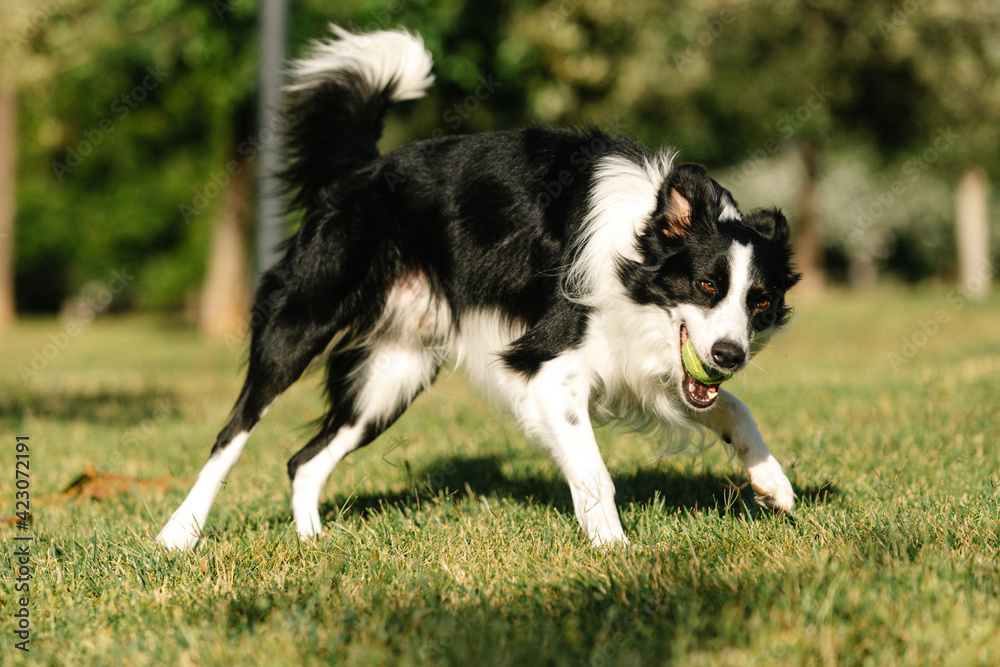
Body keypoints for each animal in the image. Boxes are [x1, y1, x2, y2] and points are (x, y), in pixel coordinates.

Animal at [158, 26, 796, 552]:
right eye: (706, 284)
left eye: (759, 302)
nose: (729, 355)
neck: (636, 254)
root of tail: (361, 171)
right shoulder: (547, 369)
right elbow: (594, 472)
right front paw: (615, 551)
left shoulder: (651, 369)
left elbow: (731, 406)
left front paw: (774, 481)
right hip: (299, 325)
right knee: (232, 433)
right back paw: (179, 534)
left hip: (392, 376)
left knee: (304, 460)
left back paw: (313, 543)